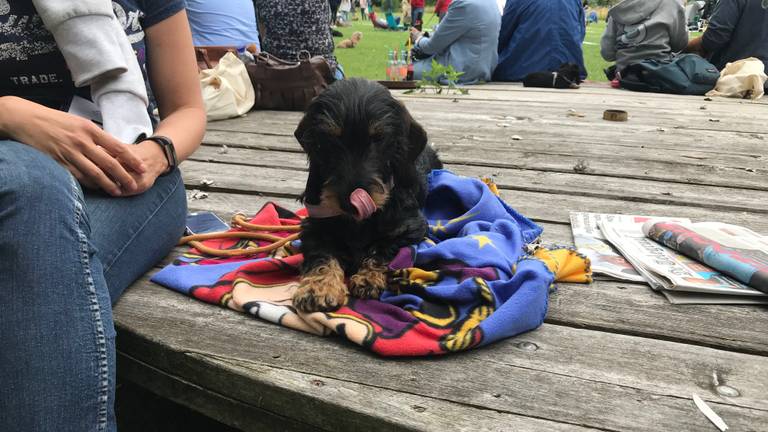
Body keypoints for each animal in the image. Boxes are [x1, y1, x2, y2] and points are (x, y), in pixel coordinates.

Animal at [292, 78, 440, 314]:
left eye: (379, 138)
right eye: (329, 140)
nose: (349, 203)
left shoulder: (410, 227)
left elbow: (381, 248)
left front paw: (368, 278)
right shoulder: (314, 228)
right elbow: (322, 254)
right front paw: (318, 287)